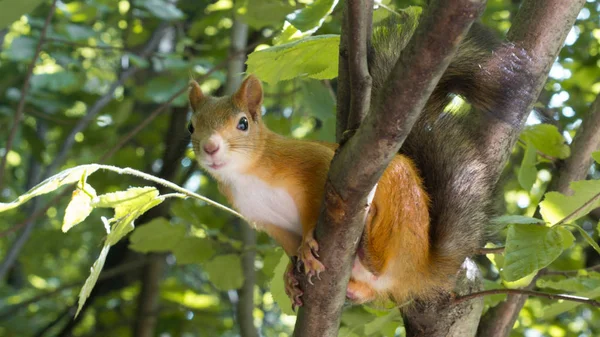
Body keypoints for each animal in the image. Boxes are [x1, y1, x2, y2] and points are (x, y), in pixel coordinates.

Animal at [189, 17, 506, 308]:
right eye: (191, 127)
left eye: (243, 123)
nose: (210, 147)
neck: (246, 175)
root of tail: (420, 268)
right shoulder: (265, 219)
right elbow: (288, 245)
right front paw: (291, 275)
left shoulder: (310, 161)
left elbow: (314, 201)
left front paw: (307, 245)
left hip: (401, 206)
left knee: (380, 263)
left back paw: (367, 246)